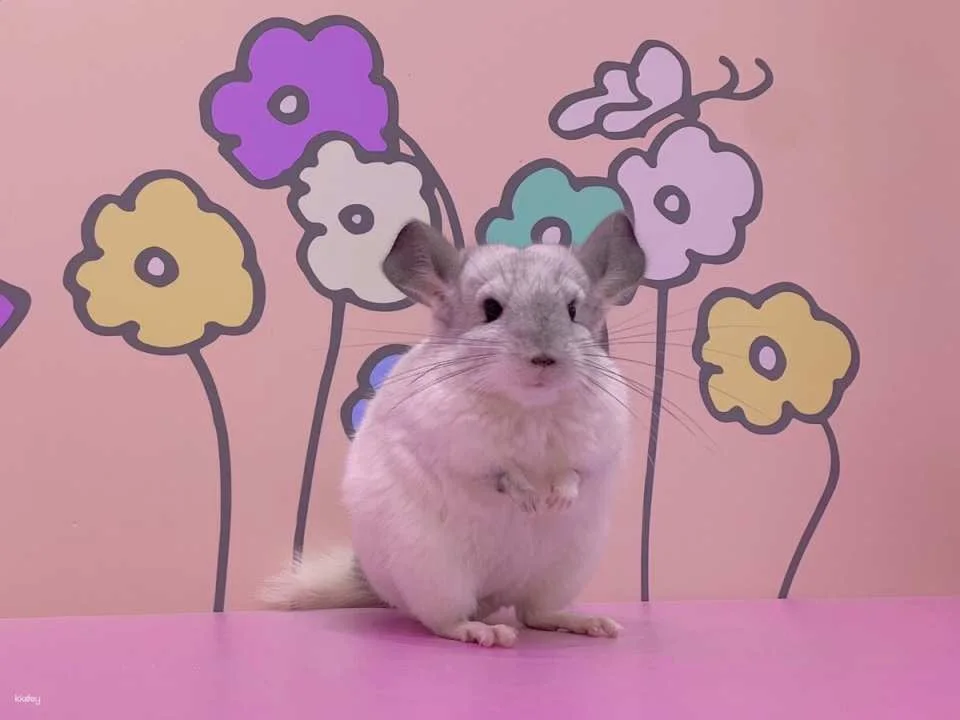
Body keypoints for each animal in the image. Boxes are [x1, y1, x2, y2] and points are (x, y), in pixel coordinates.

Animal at [262, 212, 646, 648]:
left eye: (572, 309)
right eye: (491, 309)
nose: (544, 359)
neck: (529, 406)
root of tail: (494, 596)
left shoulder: (596, 448)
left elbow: (575, 473)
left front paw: (557, 499)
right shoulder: (461, 447)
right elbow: (501, 474)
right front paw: (531, 499)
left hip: (565, 571)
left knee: (535, 613)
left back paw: (589, 623)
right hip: (436, 575)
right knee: (445, 622)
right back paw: (485, 632)